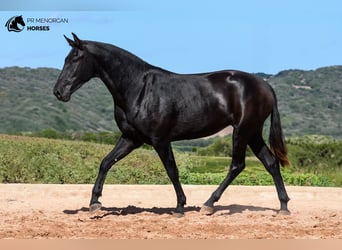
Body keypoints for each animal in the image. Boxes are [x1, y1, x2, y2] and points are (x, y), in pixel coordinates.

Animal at [54, 33, 292, 216]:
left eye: (76, 58)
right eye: (66, 58)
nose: (58, 92)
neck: (138, 88)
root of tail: (265, 86)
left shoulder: (160, 140)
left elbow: (172, 170)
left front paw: (179, 206)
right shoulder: (131, 138)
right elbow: (105, 162)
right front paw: (94, 203)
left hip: (242, 132)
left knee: (237, 165)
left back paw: (209, 204)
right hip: (252, 133)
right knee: (271, 162)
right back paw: (283, 207)